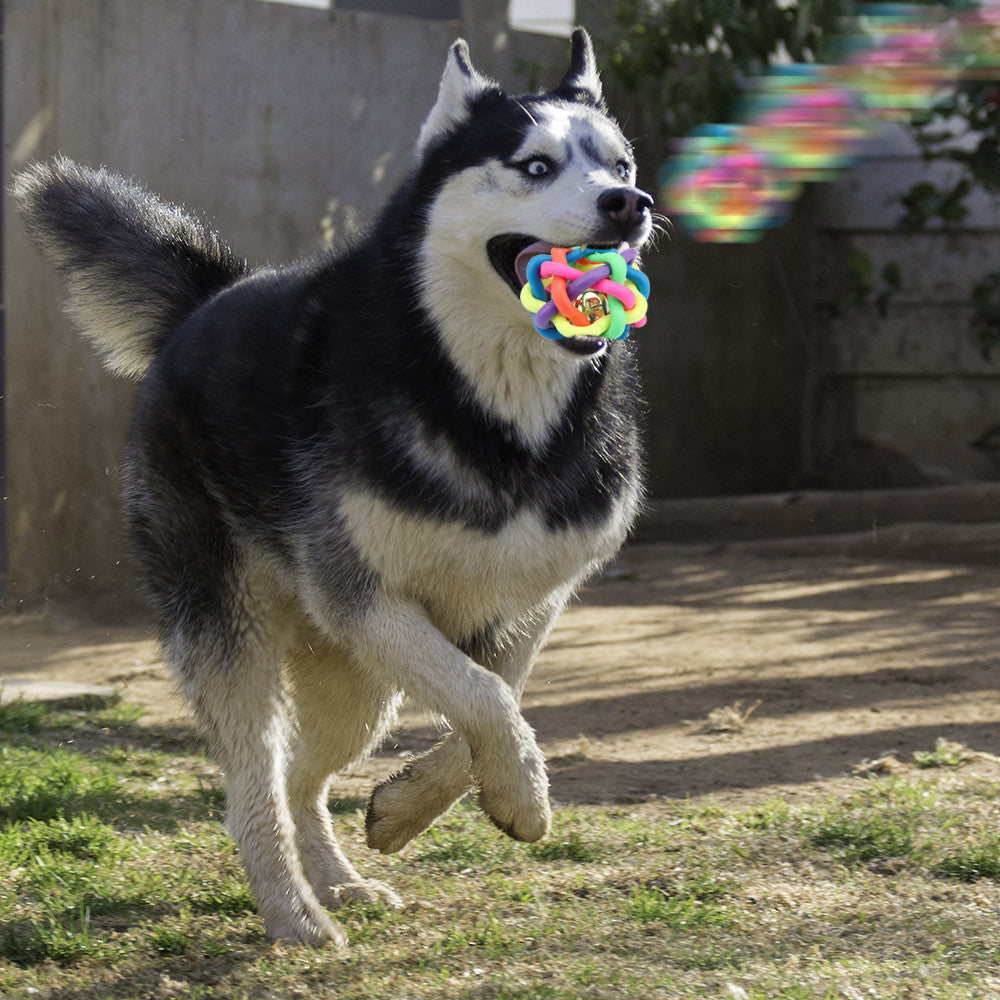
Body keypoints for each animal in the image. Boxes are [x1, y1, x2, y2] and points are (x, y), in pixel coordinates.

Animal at [17, 27, 656, 940]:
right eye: (535, 165)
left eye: (620, 163)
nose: (628, 204)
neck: (490, 410)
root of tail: (209, 297)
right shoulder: (360, 594)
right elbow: (486, 698)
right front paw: (525, 799)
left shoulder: (531, 598)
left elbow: (498, 693)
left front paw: (419, 806)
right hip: (237, 634)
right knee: (253, 782)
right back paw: (293, 911)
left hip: (356, 679)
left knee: (299, 776)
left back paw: (339, 881)